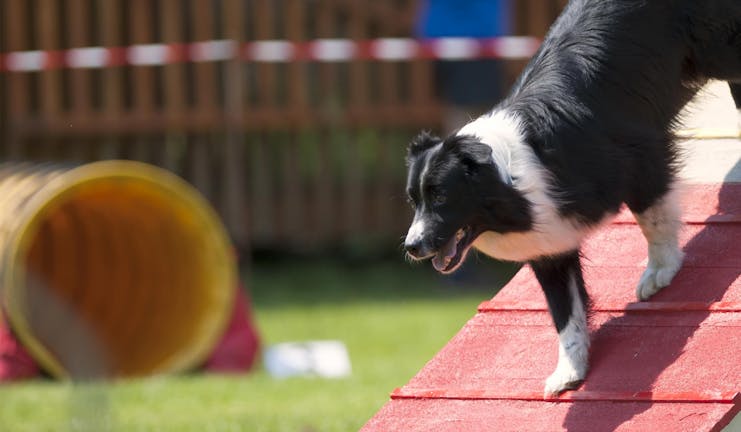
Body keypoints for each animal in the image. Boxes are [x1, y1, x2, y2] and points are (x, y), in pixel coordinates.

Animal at [404, 0, 740, 396]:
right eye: (413, 201)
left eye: (441, 196)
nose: (411, 246)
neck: (513, 180)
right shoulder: (550, 244)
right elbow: (564, 312)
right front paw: (569, 371)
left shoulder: (641, 155)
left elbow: (652, 219)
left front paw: (660, 271)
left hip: (716, 49)